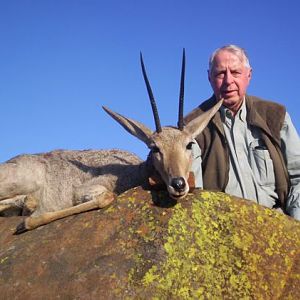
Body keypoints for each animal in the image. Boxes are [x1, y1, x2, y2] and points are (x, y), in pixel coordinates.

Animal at [0, 51, 221, 234]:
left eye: (189, 144)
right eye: (155, 148)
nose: (178, 184)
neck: (133, 172)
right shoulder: (84, 190)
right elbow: (107, 197)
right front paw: (26, 223)